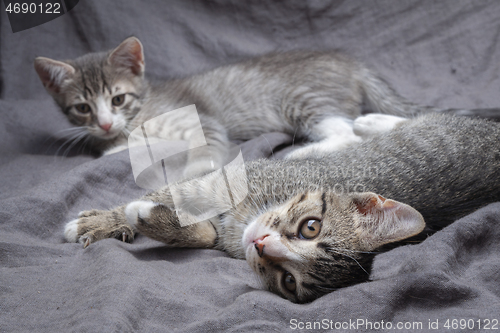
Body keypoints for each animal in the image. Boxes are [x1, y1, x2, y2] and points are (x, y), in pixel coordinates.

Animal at [32, 37, 492, 174]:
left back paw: (303, 152)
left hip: (301, 99)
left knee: (344, 131)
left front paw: (200, 167)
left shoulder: (201, 119)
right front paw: (114, 146)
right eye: (82, 108)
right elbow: (119, 149)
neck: (142, 112)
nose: (105, 123)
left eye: (118, 98)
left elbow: (207, 144)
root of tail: (351, 62)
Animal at [64, 113, 500, 302]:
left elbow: (200, 231)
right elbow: (173, 193)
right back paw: (362, 123)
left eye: (289, 281)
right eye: (311, 226)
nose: (261, 244)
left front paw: (147, 219)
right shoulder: (215, 181)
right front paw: (105, 221)